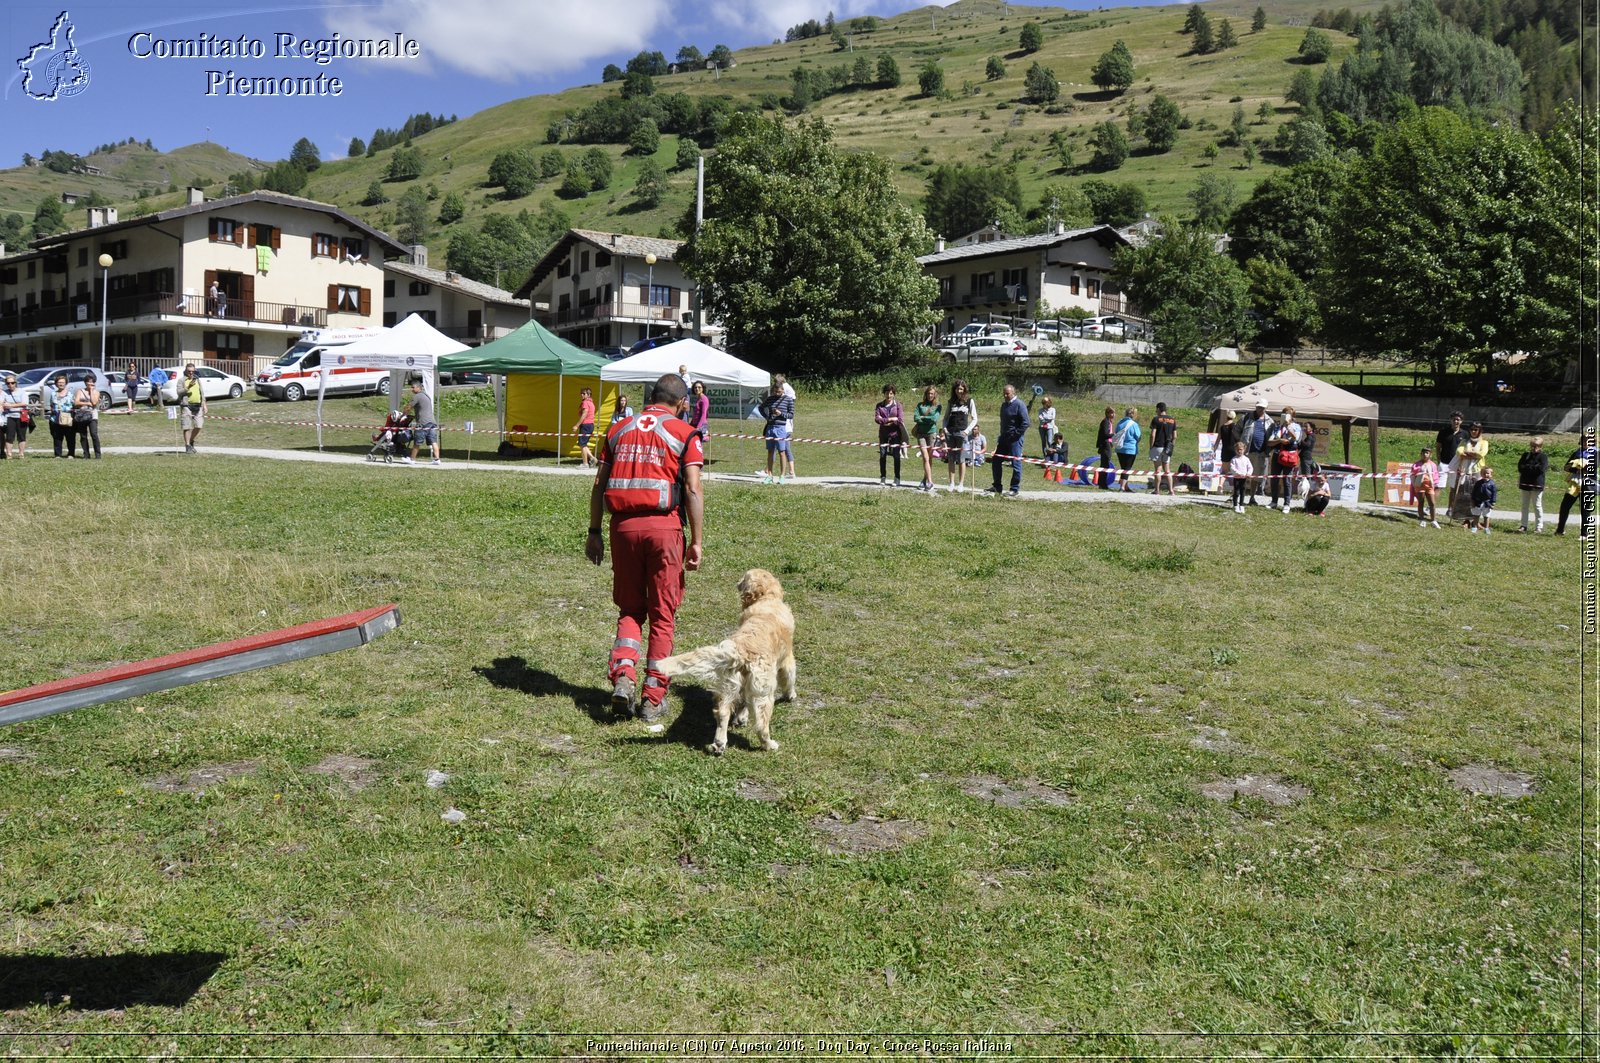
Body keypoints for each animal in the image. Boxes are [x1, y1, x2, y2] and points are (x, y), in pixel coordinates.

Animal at [656, 563, 793, 755]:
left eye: (744, 578)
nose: (737, 581)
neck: (766, 599)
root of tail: (741, 652)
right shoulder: (788, 657)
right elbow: (789, 676)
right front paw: (791, 695)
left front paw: (741, 718)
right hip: (763, 694)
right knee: (761, 724)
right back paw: (769, 744)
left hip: (729, 685)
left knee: (722, 712)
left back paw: (719, 743)